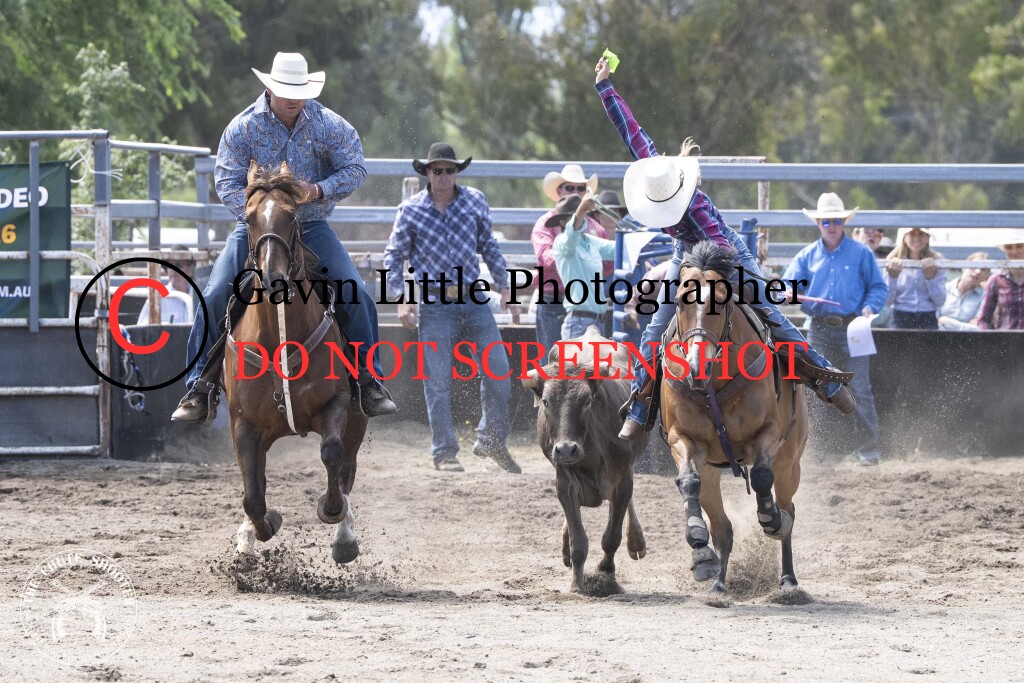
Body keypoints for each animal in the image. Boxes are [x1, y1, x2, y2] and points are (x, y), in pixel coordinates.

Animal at [225, 160, 367, 564]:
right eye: (249, 218)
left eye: (292, 217)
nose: (273, 277)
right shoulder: (242, 423)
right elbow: (253, 495)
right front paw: (262, 526)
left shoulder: (337, 404)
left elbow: (331, 454)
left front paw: (332, 513)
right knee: (255, 479)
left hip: (359, 419)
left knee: (346, 468)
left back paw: (345, 535)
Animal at [522, 326, 648, 595]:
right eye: (546, 401)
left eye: (587, 400)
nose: (566, 449)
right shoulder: (565, 483)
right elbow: (578, 541)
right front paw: (577, 584)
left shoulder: (622, 481)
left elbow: (611, 537)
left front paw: (605, 574)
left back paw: (636, 542)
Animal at [660, 240, 808, 594]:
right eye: (679, 300)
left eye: (721, 301)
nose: (696, 367)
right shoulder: (683, 439)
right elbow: (688, 481)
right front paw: (699, 552)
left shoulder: (768, 435)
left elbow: (762, 478)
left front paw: (771, 520)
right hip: (713, 471)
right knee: (723, 529)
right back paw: (717, 583)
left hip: (791, 461)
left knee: (788, 507)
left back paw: (788, 578)